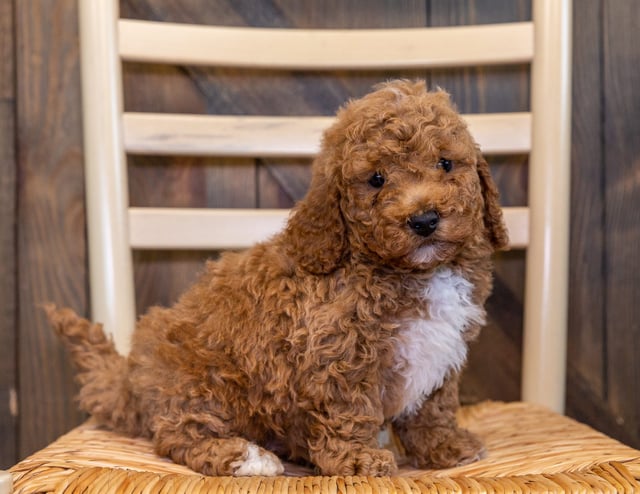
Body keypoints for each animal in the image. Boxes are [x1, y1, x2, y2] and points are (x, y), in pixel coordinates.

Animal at [47, 80, 510, 478]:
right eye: (376, 179)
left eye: (446, 164)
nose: (424, 219)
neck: (413, 270)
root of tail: (130, 379)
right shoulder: (336, 353)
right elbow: (348, 411)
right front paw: (358, 460)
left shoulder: (440, 351)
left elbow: (432, 408)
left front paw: (444, 446)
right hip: (201, 382)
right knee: (179, 434)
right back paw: (247, 458)